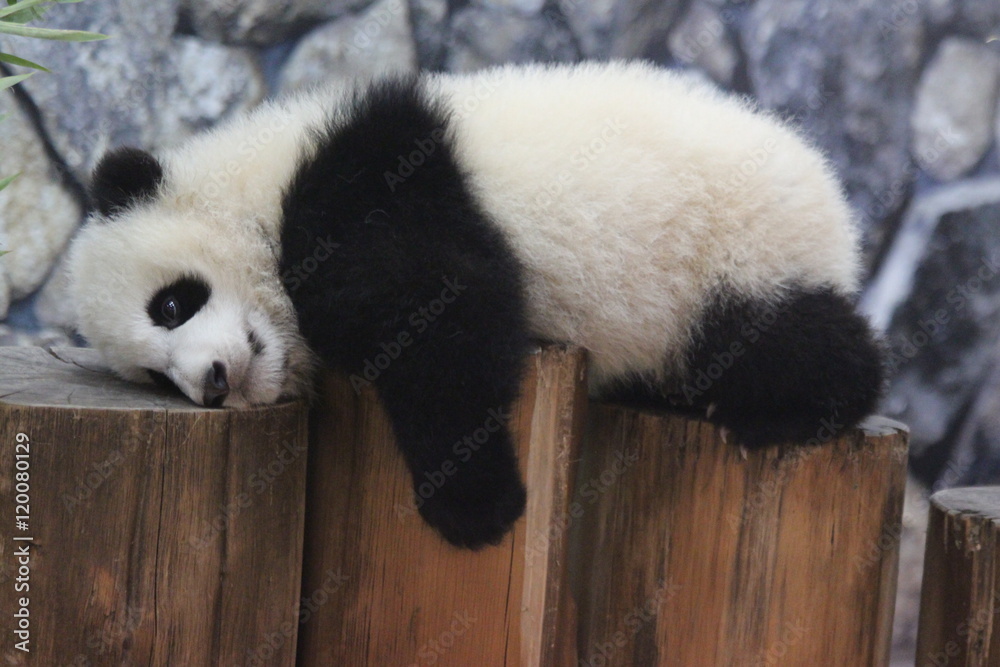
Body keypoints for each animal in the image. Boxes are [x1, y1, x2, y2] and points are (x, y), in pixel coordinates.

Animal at [66, 61, 883, 549]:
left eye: (171, 304)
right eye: (153, 379)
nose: (211, 384)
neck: (253, 180)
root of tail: (830, 196)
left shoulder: (369, 178)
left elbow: (441, 310)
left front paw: (475, 505)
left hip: (734, 250)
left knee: (784, 339)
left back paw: (774, 410)